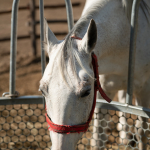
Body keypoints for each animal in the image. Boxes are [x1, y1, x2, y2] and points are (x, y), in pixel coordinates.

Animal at [39, 0, 149, 149]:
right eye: (42, 90)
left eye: (86, 92)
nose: (60, 147)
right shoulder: (103, 90)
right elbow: (98, 138)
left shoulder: (143, 91)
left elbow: (141, 132)